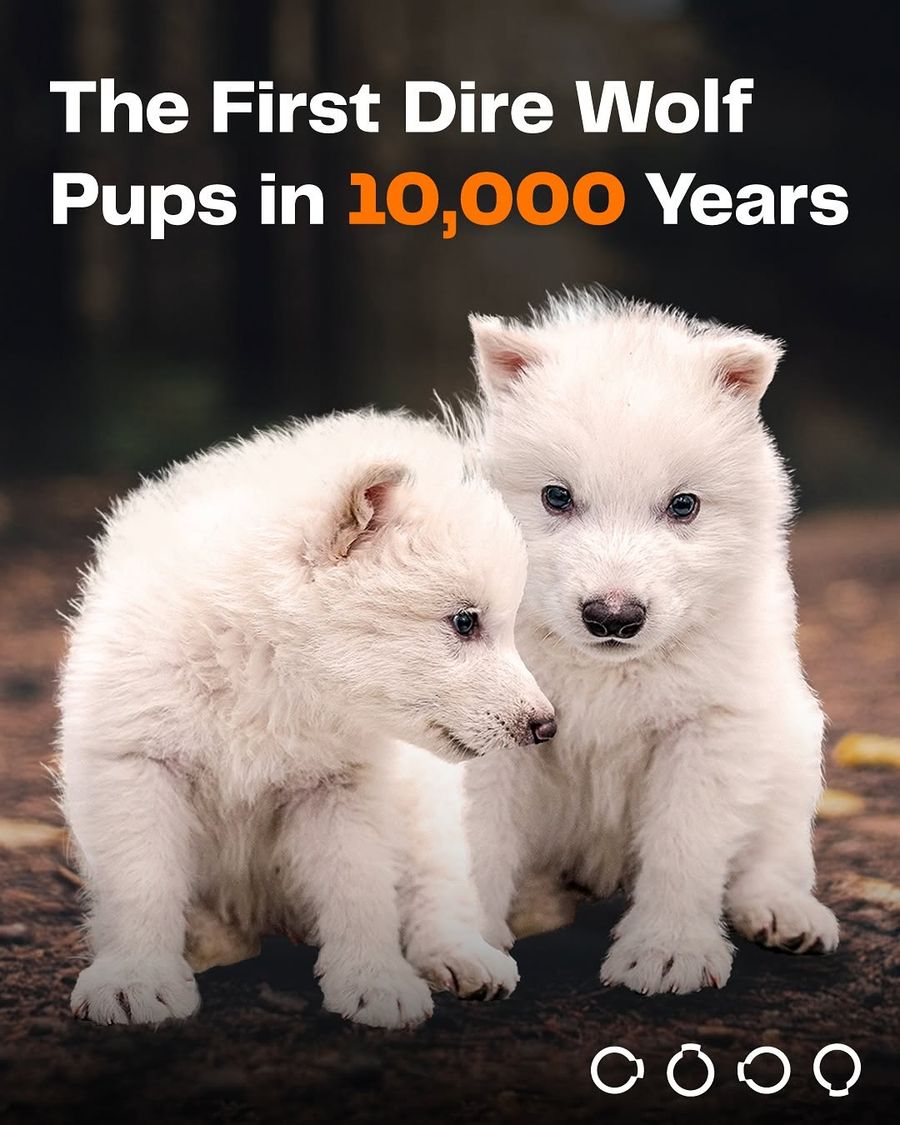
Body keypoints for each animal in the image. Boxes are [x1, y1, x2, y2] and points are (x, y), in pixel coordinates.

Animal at [59, 411, 555, 1027]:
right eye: (465, 622)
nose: (545, 724)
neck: (267, 672)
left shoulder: (342, 785)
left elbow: (358, 888)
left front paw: (374, 982)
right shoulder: (136, 763)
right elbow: (140, 880)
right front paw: (135, 978)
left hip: (422, 807)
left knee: (438, 886)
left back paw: (461, 955)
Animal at [461, 289, 838, 994]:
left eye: (683, 505)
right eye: (556, 497)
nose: (612, 617)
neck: (605, 672)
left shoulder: (711, 726)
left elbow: (686, 844)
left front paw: (667, 952)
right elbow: (475, 838)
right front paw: (462, 945)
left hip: (792, 737)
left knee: (774, 846)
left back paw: (784, 911)